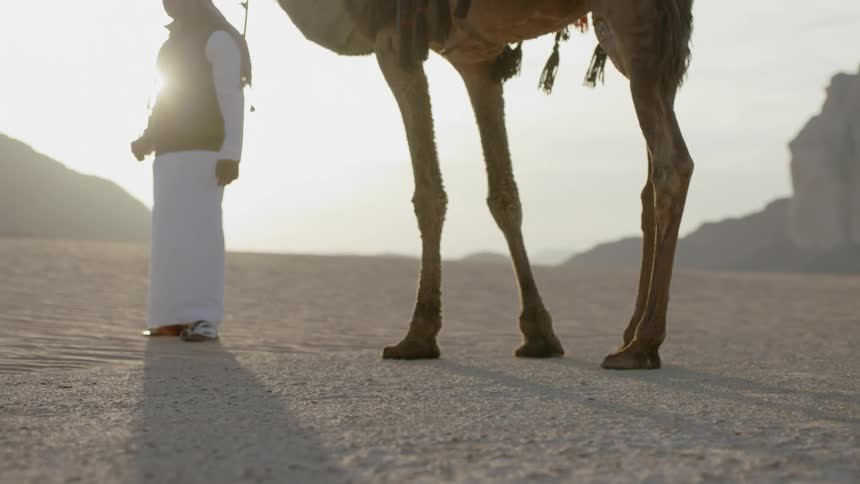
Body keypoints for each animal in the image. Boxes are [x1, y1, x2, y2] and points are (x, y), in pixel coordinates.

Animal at [275, 0, 695, 370]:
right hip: (652, 41)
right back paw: (628, 335)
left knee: (673, 165)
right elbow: (504, 195)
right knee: (648, 184)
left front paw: (419, 335)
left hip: (634, 20)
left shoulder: (395, 38)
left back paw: (642, 344)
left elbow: (429, 193)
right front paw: (538, 333)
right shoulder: (477, 57)